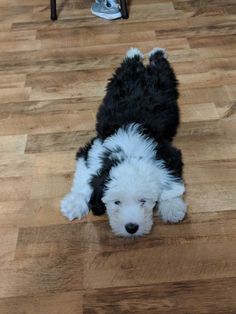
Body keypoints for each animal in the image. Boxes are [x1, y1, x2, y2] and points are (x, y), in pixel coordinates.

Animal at [61, 47, 187, 237]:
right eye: (116, 202)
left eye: (143, 201)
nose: (131, 228)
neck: (129, 149)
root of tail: (143, 72)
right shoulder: (92, 151)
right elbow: (84, 177)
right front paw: (74, 203)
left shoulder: (167, 153)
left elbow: (171, 179)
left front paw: (172, 206)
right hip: (120, 77)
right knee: (131, 62)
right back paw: (135, 53)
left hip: (165, 80)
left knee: (160, 65)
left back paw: (157, 53)